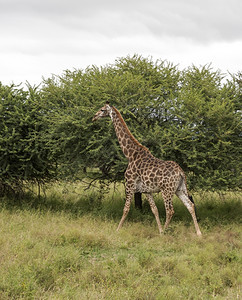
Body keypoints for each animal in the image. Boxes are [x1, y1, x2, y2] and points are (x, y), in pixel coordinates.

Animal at [91, 103, 201, 237]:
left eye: (102, 110)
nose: (94, 117)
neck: (130, 154)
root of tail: (181, 172)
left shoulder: (129, 184)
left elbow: (126, 208)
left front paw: (117, 230)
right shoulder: (147, 190)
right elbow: (155, 210)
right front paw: (159, 230)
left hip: (166, 190)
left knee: (170, 210)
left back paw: (165, 233)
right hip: (179, 189)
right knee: (190, 205)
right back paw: (198, 233)